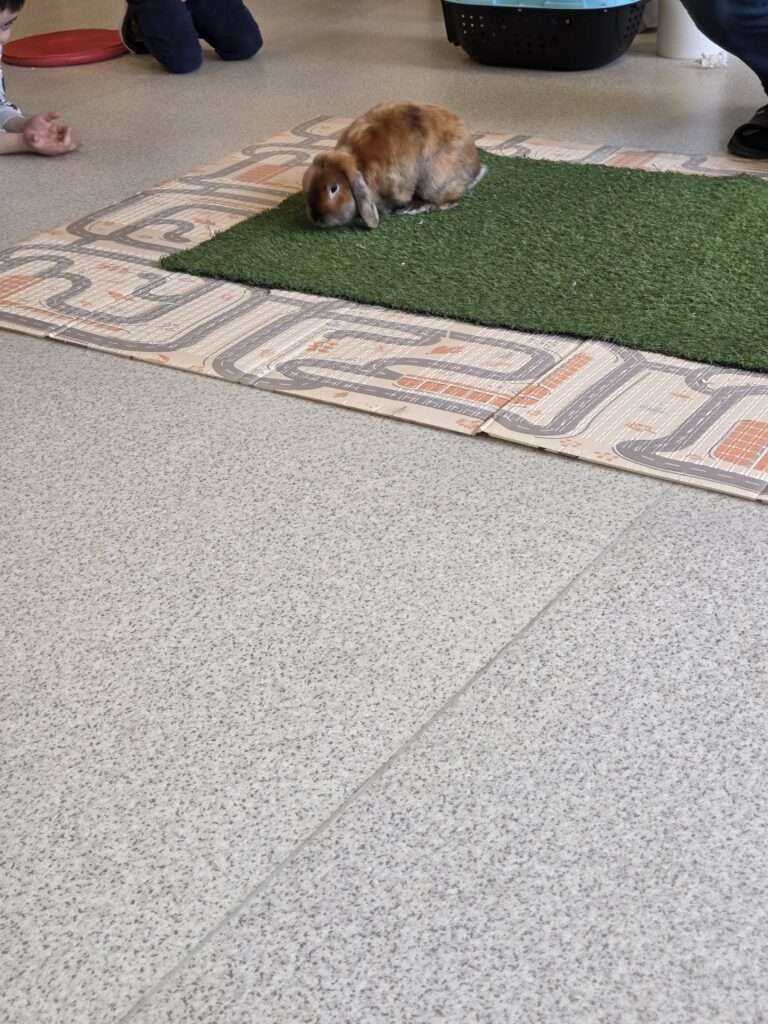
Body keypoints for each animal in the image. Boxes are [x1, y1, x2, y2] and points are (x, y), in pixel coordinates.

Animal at [302, 102, 486, 229]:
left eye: (333, 189)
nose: (317, 218)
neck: (358, 162)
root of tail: (475, 168)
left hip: (433, 182)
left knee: (447, 200)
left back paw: (414, 208)